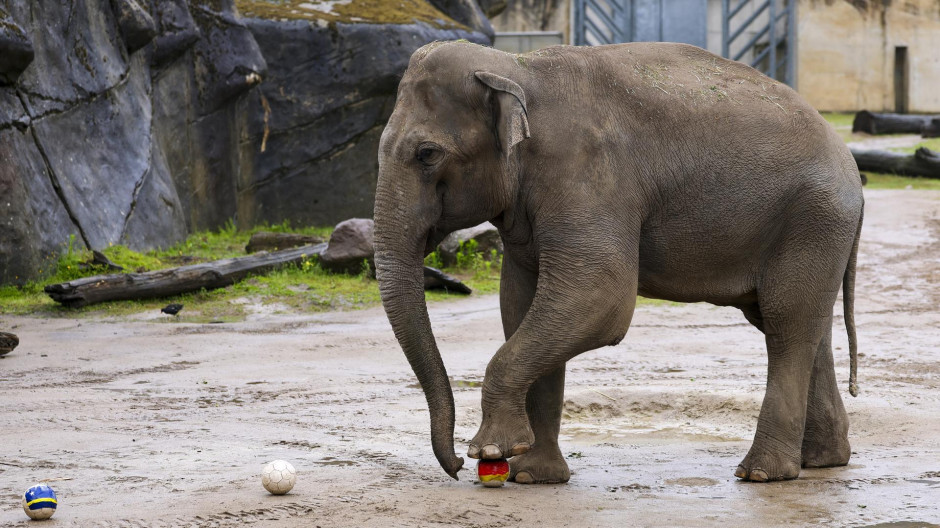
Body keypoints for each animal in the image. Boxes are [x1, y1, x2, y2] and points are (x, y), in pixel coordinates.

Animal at [373, 40, 863, 484]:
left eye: (427, 154)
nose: (455, 465)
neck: (518, 67)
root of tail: (850, 165)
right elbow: (520, 306)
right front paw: (533, 476)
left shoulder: (589, 175)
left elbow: (598, 299)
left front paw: (493, 450)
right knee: (802, 324)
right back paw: (822, 460)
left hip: (813, 218)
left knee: (786, 324)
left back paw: (762, 473)